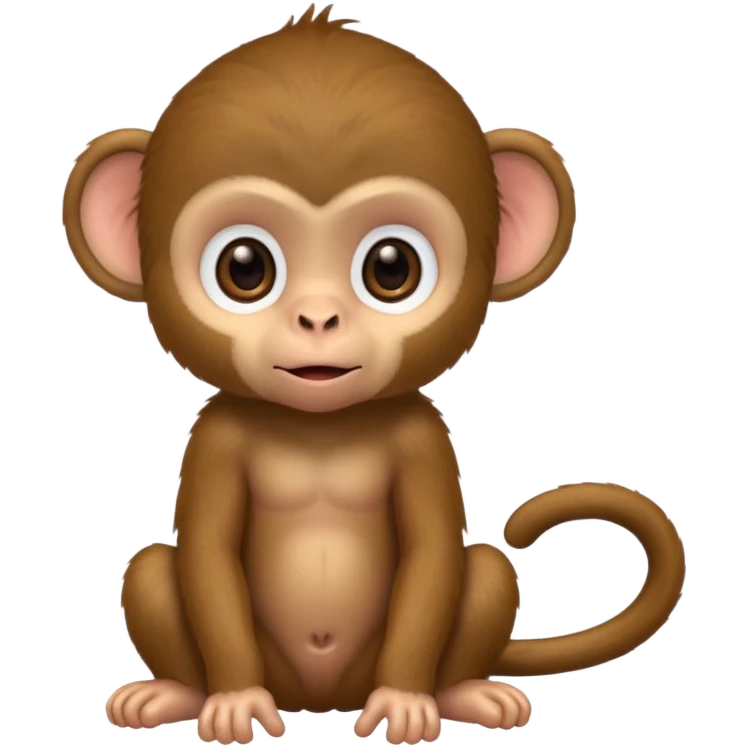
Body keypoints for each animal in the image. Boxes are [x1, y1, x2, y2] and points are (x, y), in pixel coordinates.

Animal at [62, 5, 686, 746]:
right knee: (154, 568)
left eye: (391, 267)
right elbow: (207, 555)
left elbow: (432, 553)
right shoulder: (215, 437)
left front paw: (407, 702)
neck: (321, 429)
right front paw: (234, 699)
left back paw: (464, 692)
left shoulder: (423, 435)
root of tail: (321, 700)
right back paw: (176, 694)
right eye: (245, 267)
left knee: (484, 569)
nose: (318, 318)